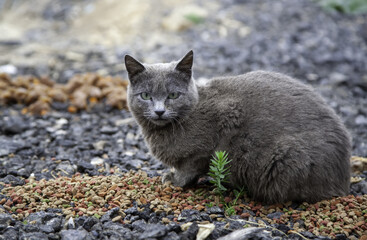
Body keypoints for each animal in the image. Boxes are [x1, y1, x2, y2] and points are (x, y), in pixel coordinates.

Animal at [125, 49, 352, 203]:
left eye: (173, 95)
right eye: (146, 96)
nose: (159, 111)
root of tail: (344, 178)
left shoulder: (218, 127)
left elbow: (189, 168)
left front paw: (175, 180)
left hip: (285, 158)